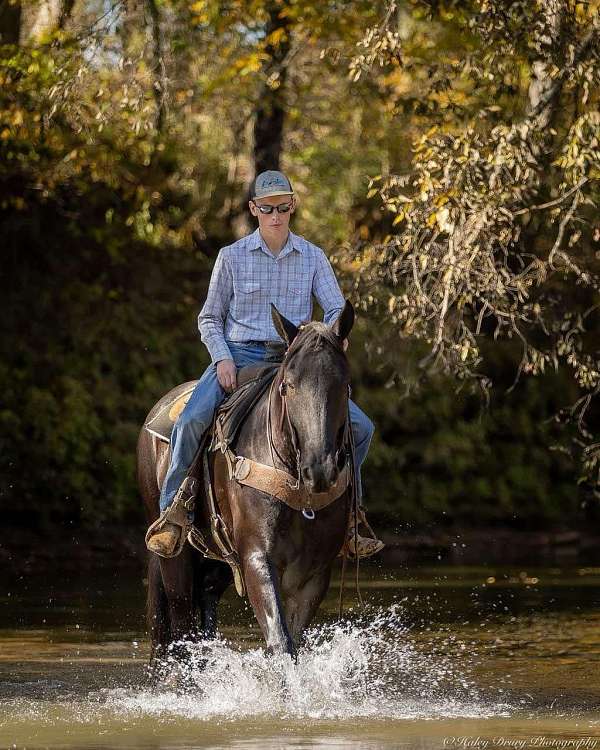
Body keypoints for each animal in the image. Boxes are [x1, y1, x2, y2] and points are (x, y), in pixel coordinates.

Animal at [139, 302, 356, 668]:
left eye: (343, 386)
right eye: (288, 386)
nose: (319, 469)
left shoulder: (314, 574)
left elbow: (293, 640)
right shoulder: (257, 557)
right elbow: (281, 641)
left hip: (218, 560)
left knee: (205, 601)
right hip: (174, 556)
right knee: (180, 625)